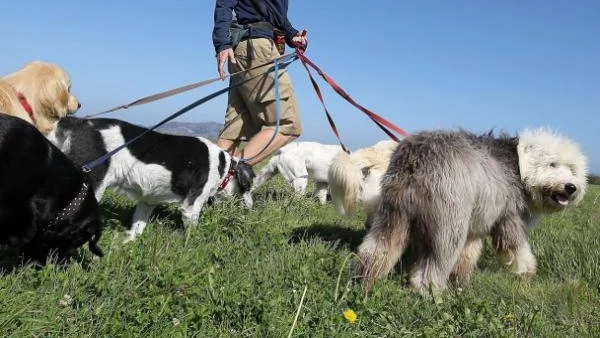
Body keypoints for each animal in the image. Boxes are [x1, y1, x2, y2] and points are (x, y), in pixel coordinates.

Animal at [47, 117, 253, 243]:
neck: (224, 167)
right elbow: (192, 232)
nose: (251, 209)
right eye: (251, 187)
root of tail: (78, 122)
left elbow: (137, 227)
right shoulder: (191, 207)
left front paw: (128, 242)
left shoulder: (147, 201)